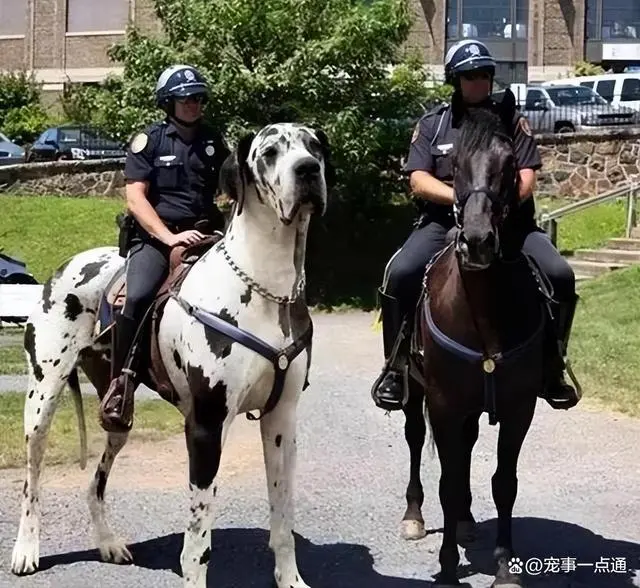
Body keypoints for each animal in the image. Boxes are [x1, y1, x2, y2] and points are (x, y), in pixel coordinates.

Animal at [11, 121, 336, 584]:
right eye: (270, 151)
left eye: (314, 146)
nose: (307, 170)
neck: (264, 287)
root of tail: (64, 267)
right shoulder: (205, 426)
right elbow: (198, 538)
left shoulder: (281, 422)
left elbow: (283, 516)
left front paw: (290, 580)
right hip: (41, 401)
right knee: (31, 480)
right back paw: (26, 549)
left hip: (117, 415)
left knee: (95, 483)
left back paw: (108, 543)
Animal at [402, 88, 548, 588]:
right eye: (457, 162)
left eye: (509, 162)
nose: (480, 241)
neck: (483, 312)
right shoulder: (444, 402)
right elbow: (447, 482)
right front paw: (448, 566)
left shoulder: (520, 407)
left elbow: (504, 483)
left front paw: (504, 565)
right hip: (416, 394)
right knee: (415, 438)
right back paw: (414, 515)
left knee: (464, 451)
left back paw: (465, 522)